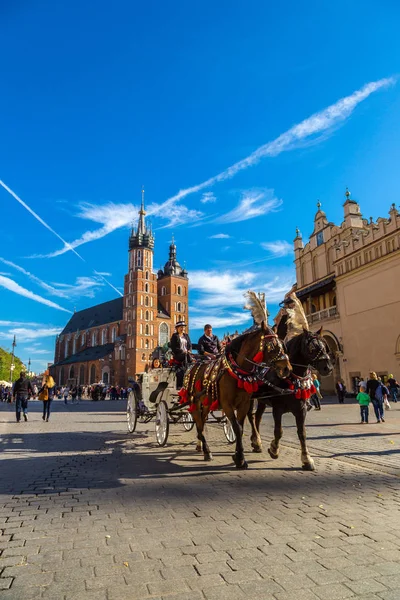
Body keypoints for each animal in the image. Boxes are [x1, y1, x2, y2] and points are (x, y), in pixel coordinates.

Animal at [180, 290, 290, 468]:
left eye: (282, 344)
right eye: (273, 346)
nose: (287, 368)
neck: (238, 371)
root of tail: (192, 365)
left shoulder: (244, 404)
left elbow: (241, 427)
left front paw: (240, 454)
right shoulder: (227, 405)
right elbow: (237, 428)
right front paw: (240, 458)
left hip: (206, 402)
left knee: (202, 422)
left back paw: (201, 447)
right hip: (194, 401)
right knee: (198, 422)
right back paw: (207, 451)